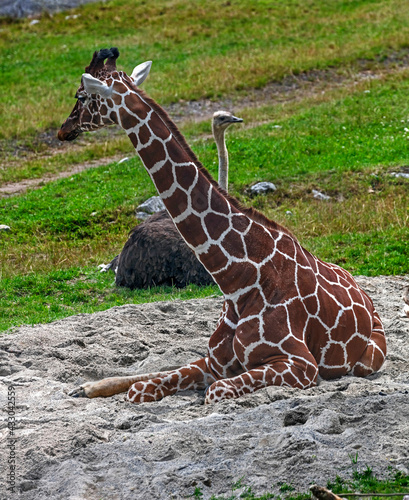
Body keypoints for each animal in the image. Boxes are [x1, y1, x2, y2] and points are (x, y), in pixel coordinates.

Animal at [58, 48, 386, 404]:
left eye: (80, 96)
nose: (63, 130)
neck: (237, 280)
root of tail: (367, 298)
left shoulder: (300, 365)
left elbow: (213, 392)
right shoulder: (216, 362)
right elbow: (141, 389)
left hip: (368, 359)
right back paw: (84, 386)